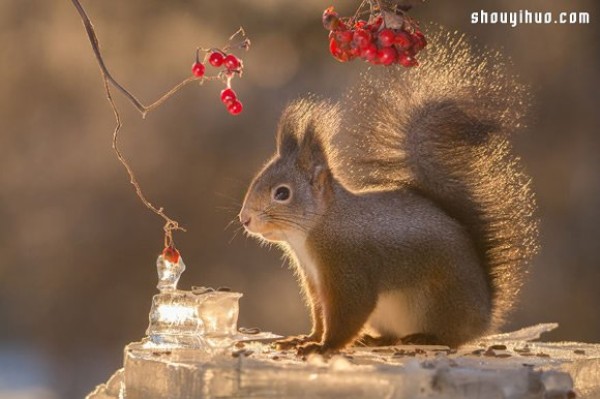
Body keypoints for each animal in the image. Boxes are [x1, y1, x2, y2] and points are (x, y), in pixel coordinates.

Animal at [239, 32, 540, 354]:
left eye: (282, 193)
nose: (245, 219)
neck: (319, 226)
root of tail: (484, 316)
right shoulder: (315, 282)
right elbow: (320, 315)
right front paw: (307, 338)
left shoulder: (348, 267)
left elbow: (348, 313)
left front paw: (323, 347)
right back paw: (377, 339)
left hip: (439, 304)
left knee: (452, 337)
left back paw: (427, 337)